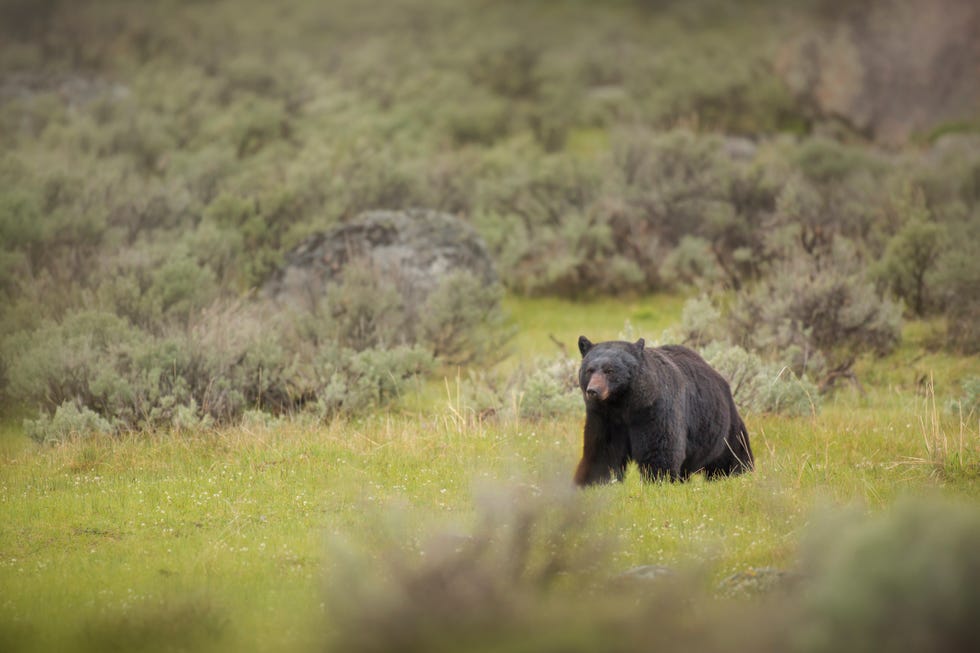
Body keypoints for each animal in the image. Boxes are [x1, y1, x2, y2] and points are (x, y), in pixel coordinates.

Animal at [576, 336, 752, 484]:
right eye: (589, 370)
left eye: (610, 370)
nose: (593, 391)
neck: (623, 404)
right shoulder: (604, 417)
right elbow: (602, 450)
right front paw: (594, 481)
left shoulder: (654, 410)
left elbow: (660, 448)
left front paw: (658, 480)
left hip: (722, 427)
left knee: (734, 451)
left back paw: (739, 472)